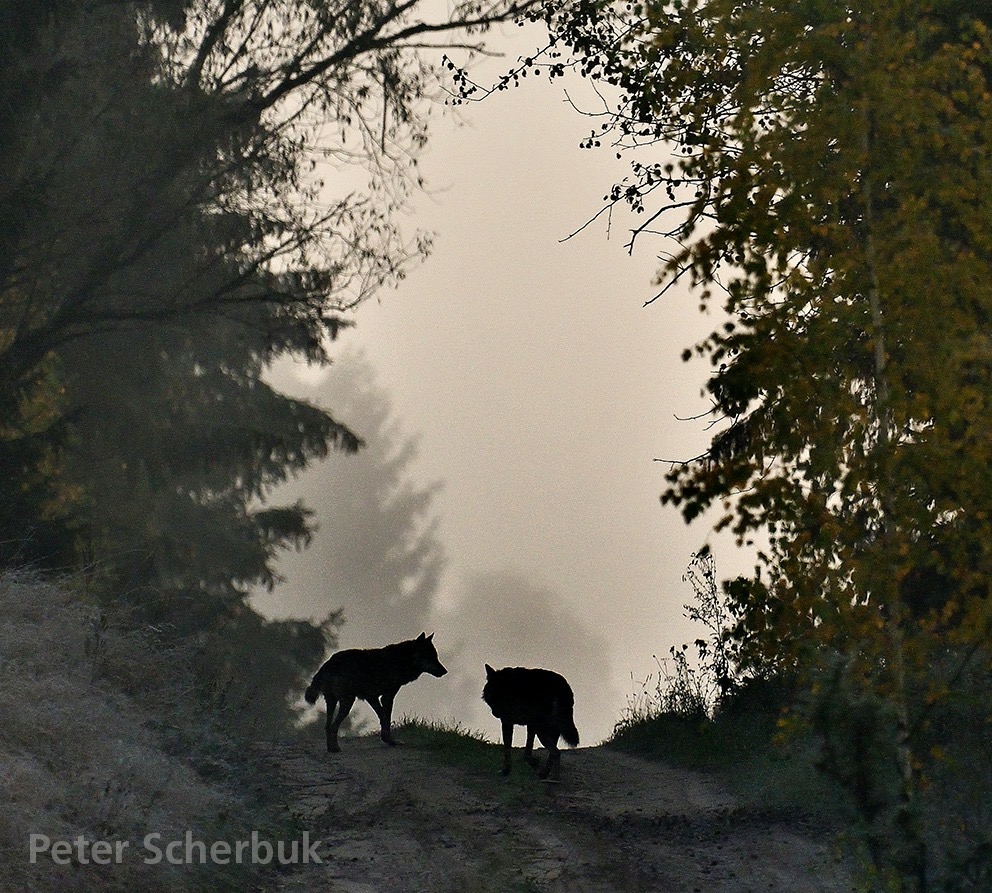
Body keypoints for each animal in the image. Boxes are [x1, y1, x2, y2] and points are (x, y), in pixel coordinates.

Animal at [304, 636, 448, 752]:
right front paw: (390, 740)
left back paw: (331, 748)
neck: (400, 660)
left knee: (327, 726)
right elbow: (386, 717)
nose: (445, 671)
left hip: (333, 702)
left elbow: (382, 717)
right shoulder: (387, 696)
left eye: (436, 657)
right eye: (430, 657)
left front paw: (386, 739)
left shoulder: (372, 697)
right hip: (347, 702)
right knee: (334, 726)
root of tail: (329, 663)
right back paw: (335, 748)